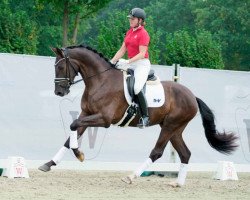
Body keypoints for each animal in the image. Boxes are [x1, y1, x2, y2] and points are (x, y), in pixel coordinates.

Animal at [38, 44, 237, 187]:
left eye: (61, 66)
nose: (59, 92)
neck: (100, 80)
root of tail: (192, 96)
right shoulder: (87, 114)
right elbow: (72, 133)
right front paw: (50, 163)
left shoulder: (104, 119)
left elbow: (74, 125)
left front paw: (79, 154)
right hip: (175, 129)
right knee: (185, 153)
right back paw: (178, 183)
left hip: (170, 126)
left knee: (157, 152)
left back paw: (131, 176)